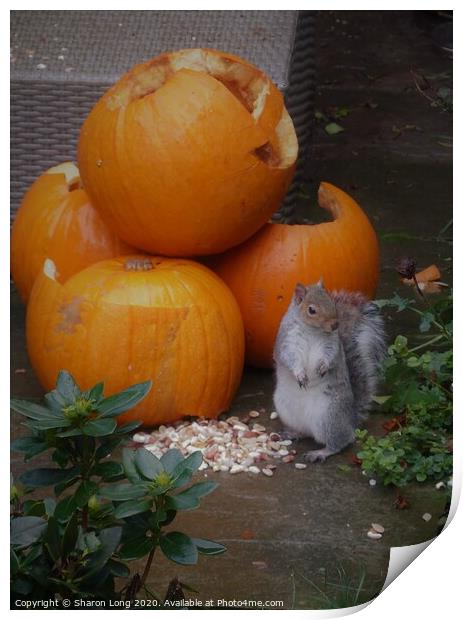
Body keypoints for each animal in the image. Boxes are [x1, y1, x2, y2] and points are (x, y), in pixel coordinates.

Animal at [274, 280, 386, 460]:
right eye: (311, 310)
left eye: (332, 302)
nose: (335, 325)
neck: (312, 330)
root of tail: (351, 420)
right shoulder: (287, 342)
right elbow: (290, 359)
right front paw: (300, 374)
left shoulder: (331, 345)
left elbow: (330, 357)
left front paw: (323, 367)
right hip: (287, 411)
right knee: (307, 432)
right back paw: (294, 433)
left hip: (329, 417)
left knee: (341, 442)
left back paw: (321, 452)